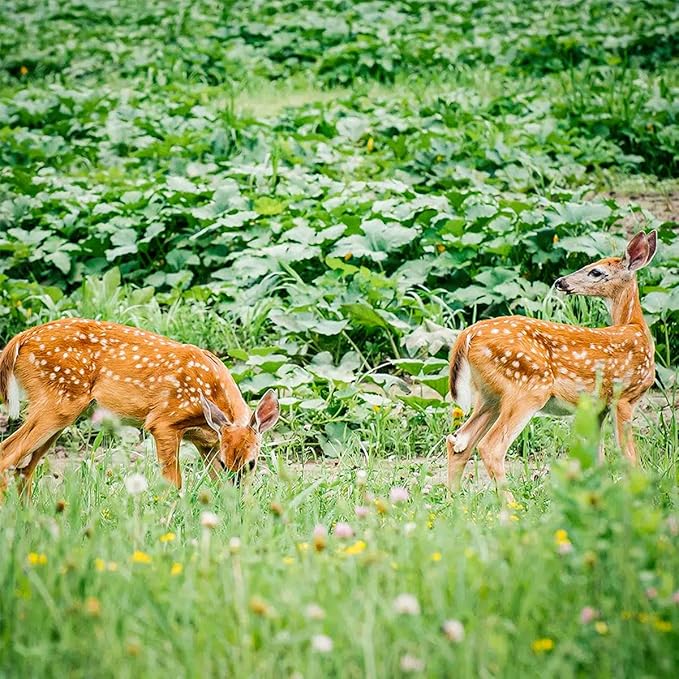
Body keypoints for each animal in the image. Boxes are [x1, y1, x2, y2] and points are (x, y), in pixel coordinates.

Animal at [0, 318, 280, 497]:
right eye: (226, 461)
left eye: (252, 463)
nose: (238, 489)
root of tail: (21, 339)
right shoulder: (164, 421)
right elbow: (173, 484)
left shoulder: (206, 443)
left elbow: (216, 485)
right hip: (58, 402)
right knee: (7, 454)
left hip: (59, 412)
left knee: (24, 469)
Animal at [446, 230, 658, 496]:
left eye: (596, 271)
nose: (561, 282)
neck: (636, 328)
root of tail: (468, 334)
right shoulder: (624, 398)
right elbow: (628, 455)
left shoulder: (597, 407)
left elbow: (596, 456)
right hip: (527, 388)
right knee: (490, 446)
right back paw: (510, 502)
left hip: (490, 395)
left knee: (459, 441)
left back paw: (454, 499)